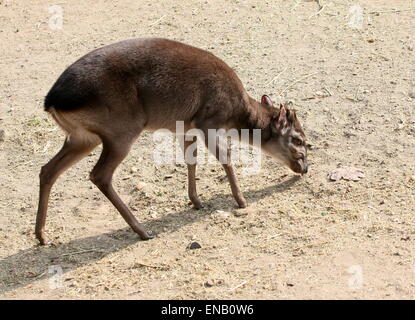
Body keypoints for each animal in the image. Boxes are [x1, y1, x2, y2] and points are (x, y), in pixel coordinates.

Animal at [35, 37, 308, 245]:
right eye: (298, 139)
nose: (305, 168)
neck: (236, 113)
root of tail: (51, 101)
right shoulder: (208, 120)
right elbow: (226, 158)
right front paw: (241, 202)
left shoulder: (185, 127)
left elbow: (191, 159)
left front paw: (196, 201)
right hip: (121, 130)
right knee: (99, 174)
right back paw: (142, 230)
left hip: (81, 137)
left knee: (48, 169)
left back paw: (41, 236)